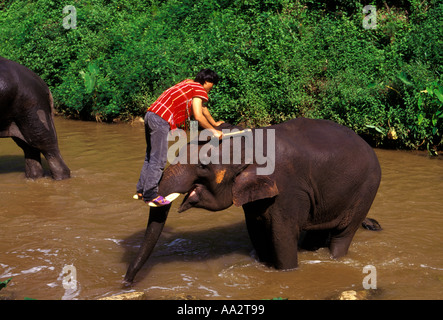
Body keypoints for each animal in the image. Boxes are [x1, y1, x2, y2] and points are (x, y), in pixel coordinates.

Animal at [125, 117, 382, 282]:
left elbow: (282, 236)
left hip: (366, 190)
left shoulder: (287, 188)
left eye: (203, 166)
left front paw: (287, 273)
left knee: (342, 235)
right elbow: (257, 231)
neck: (252, 139)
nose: (127, 281)